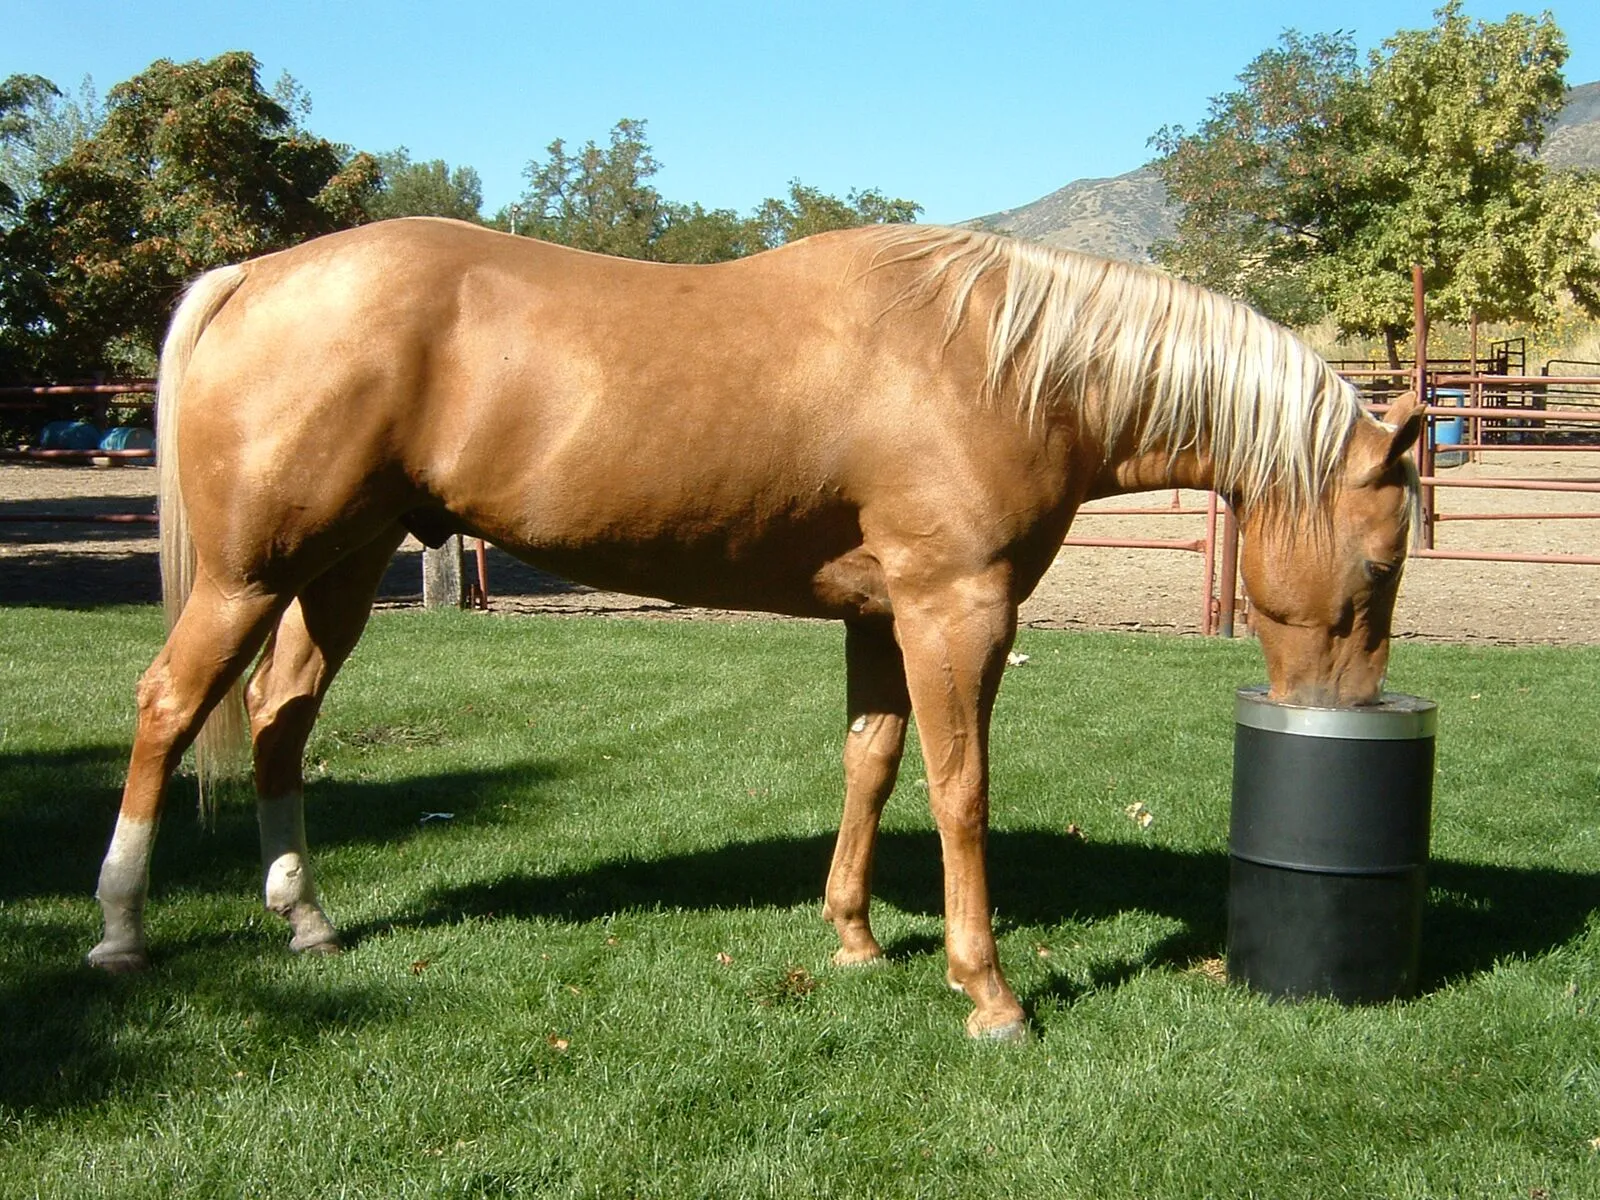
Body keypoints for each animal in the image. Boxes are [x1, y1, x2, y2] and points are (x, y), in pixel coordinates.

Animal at [86, 219, 1423, 1040]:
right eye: (1378, 562)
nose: (1344, 717)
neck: (999, 363)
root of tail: (256, 274)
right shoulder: (955, 611)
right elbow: (959, 788)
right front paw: (987, 992)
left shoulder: (883, 616)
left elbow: (870, 764)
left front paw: (855, 939)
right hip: (251, 575)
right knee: (167, 707)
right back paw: (120, 932)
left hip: (339, 570)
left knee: (278, 718)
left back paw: (305, 919)